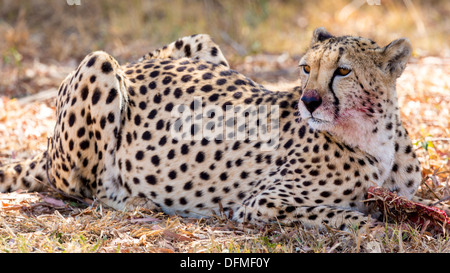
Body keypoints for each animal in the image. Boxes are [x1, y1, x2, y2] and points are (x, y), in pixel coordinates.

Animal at [0, 28, 442, 230]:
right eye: (305, 68)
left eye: (343, 71)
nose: (309, 101)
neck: (373, 135)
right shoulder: (261, 203)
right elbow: (346, 215)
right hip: (100, 64)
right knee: (85, 189)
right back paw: (139, 202)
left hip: (198, 42)